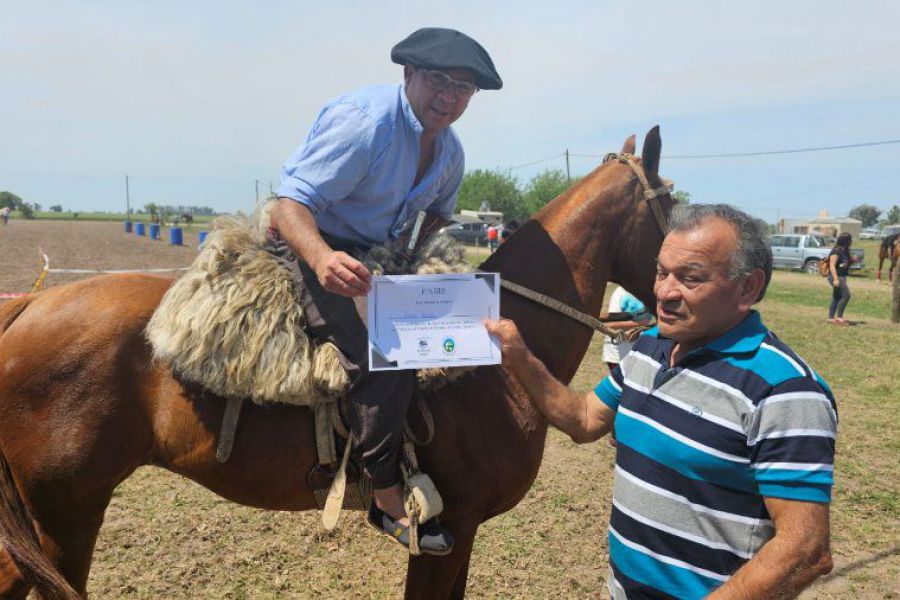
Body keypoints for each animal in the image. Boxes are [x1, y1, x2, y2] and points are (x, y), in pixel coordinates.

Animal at [0, 127, 676, 600]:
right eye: (674, 205)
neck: (496, 357)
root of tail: (30, 303)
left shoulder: (464, 535)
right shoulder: (447, 533)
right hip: (66, 517)